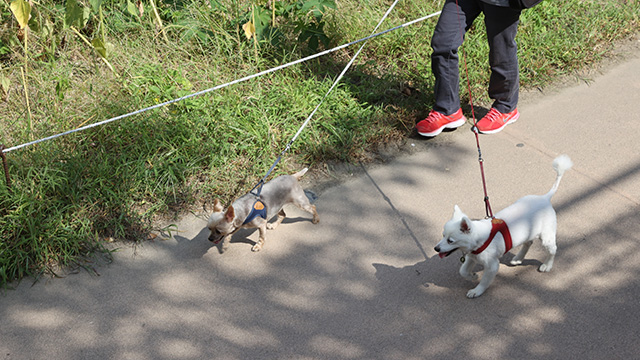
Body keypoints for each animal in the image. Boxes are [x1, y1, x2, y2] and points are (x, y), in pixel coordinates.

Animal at [436, 155, 576, 298]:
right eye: (443, 235)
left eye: (450, 241)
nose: (436, 248)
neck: (479, 240)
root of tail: (545, 198)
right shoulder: (472, 257)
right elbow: (462, 270)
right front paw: (472, 276)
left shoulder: (492, 266)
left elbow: (484, 281)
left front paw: (476, 290)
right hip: (528, 230)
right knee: (528, 242)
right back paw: (518, 259)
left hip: (546, 237)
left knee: (553, 249)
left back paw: (547, 265)